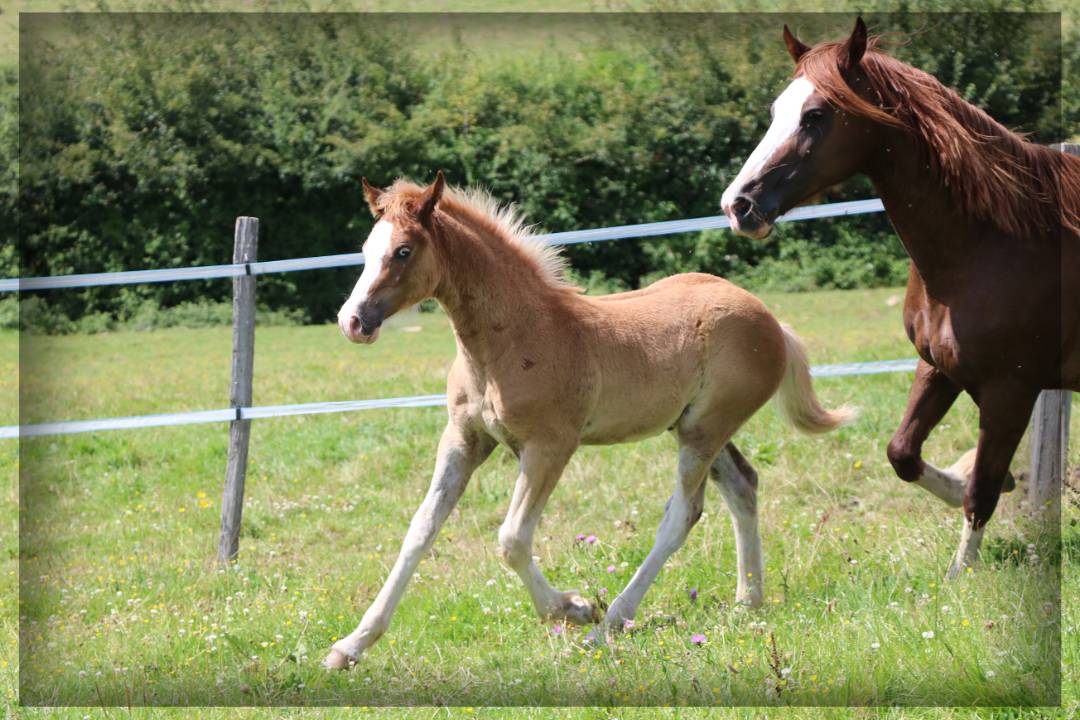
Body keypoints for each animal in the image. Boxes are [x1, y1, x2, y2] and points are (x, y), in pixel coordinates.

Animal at [324, 172, 852, 667]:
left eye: (403, 251)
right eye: (365, 250)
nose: (352, 321)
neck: (512, 337)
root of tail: (771, 320)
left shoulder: (550, 446)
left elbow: (512, 539)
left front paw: (574, 608)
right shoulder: (464, 440)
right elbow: (419, 531)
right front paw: (351, 646)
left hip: (705, 430)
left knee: (682, 514)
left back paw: (609, 624)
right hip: (695, 427)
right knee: (742, 486)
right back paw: (748, 602)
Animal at [720, 17, 1079, 578]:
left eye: (816, 114)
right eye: (777, 111)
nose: (738, 205)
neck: (996, 242)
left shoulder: (1011, 389)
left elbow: (980, 493)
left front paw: (961, 573)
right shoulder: (938, 367)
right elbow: (903, 453)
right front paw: (966, 480)